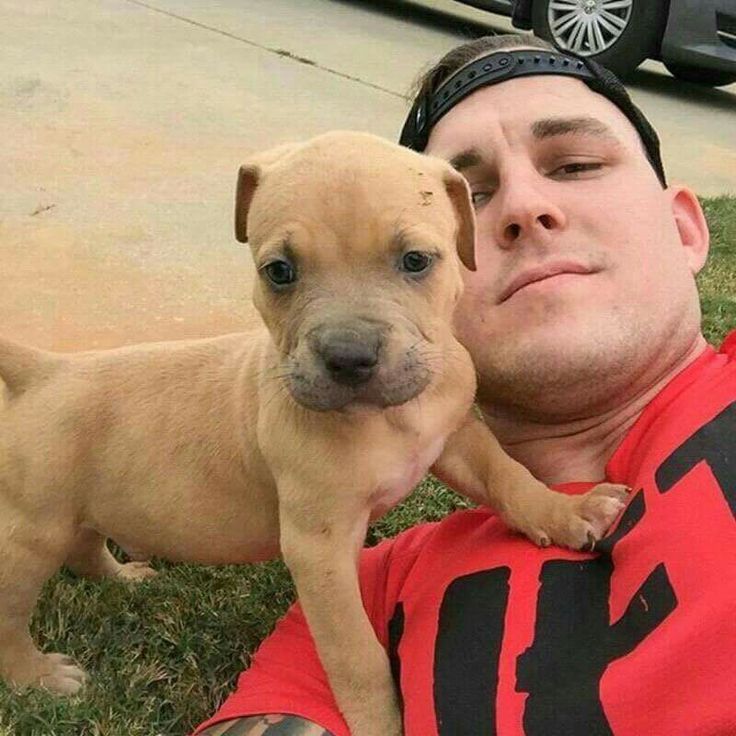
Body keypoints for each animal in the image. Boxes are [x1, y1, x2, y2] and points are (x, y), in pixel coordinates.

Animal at [0, 134, 628, 736]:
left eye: (416, 261)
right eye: (279, 271)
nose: (348, 357)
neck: (387, 418)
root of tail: (44, 370)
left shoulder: (454, 438)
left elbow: (507, 476)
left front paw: (565, 512)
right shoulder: (319, 550)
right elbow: (357, 657)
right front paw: (382, 725)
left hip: (76, 510)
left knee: (86, 547)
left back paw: (125, 579)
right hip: (31, 535)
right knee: (10, 613)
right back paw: (38, 677)